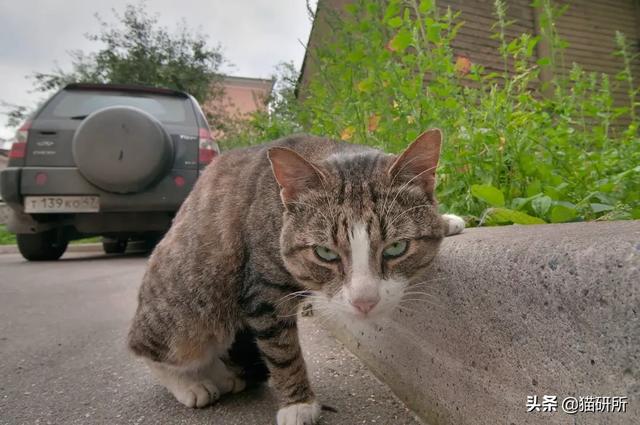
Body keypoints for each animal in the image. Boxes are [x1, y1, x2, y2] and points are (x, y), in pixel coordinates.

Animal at [126, 129, 464, 424]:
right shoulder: (263, 290)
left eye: (396, 247)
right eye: (325, 253)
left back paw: (225, 376)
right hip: (190, 307)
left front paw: (447, 219)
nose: (364, 302)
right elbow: (282, 351)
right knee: (149, 348)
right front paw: (298, 404)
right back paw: (191, 384)